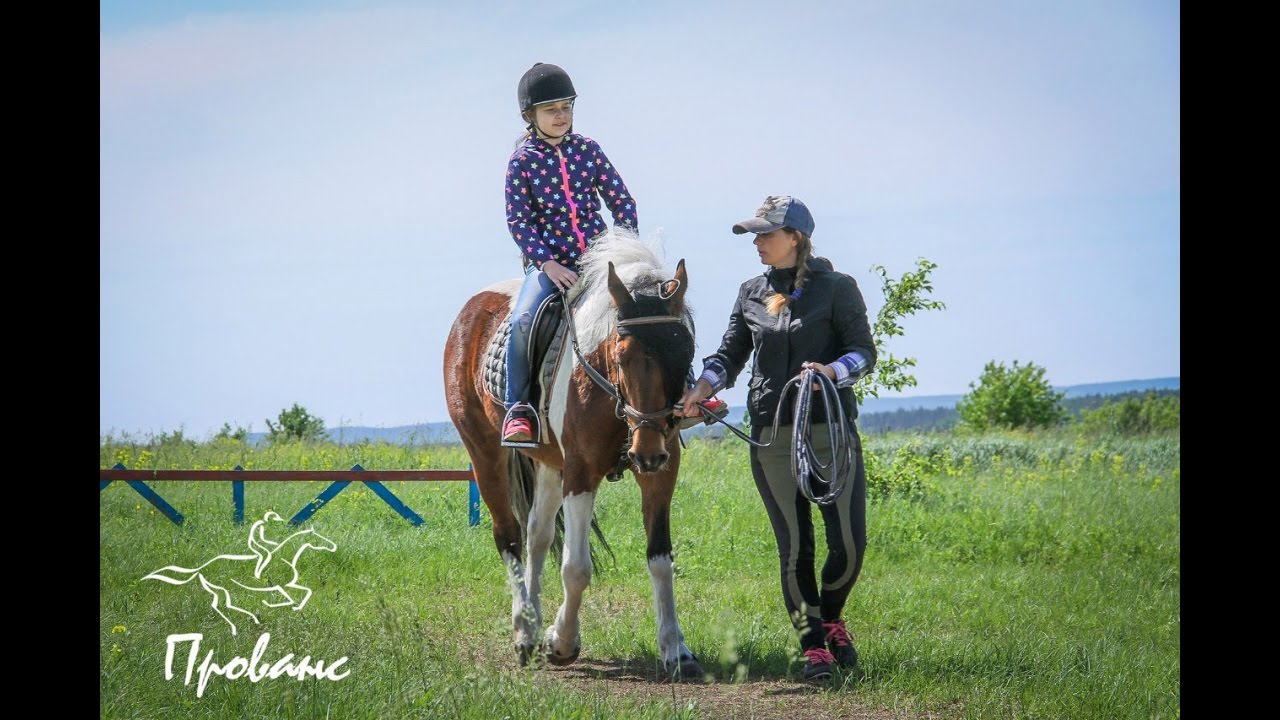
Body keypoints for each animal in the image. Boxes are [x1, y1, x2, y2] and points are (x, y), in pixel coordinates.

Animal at [142, 515, 337, 632]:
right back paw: (248, 620)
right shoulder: (280, 585)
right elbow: (291, 597)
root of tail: (203, 567)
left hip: (217, 589)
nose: (332, 546)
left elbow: (306, 592)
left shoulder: (286, 585)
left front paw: (292, 607)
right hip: (224, 587)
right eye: (318, 537)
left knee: (219, 605)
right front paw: (276, 604)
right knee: (225, 605)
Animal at [445, 233, 706, 676]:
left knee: (536, 534)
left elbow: (660, 559)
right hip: (484, 453)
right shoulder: (582, 472)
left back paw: (532, 623)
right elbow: (576, 568)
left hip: (551, 464)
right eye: (621, 354)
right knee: (509, 536)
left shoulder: (659, 474)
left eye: (684, 351)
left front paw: (675, 649)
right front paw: (562, 643)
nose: (647, 452)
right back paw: (525, 634)